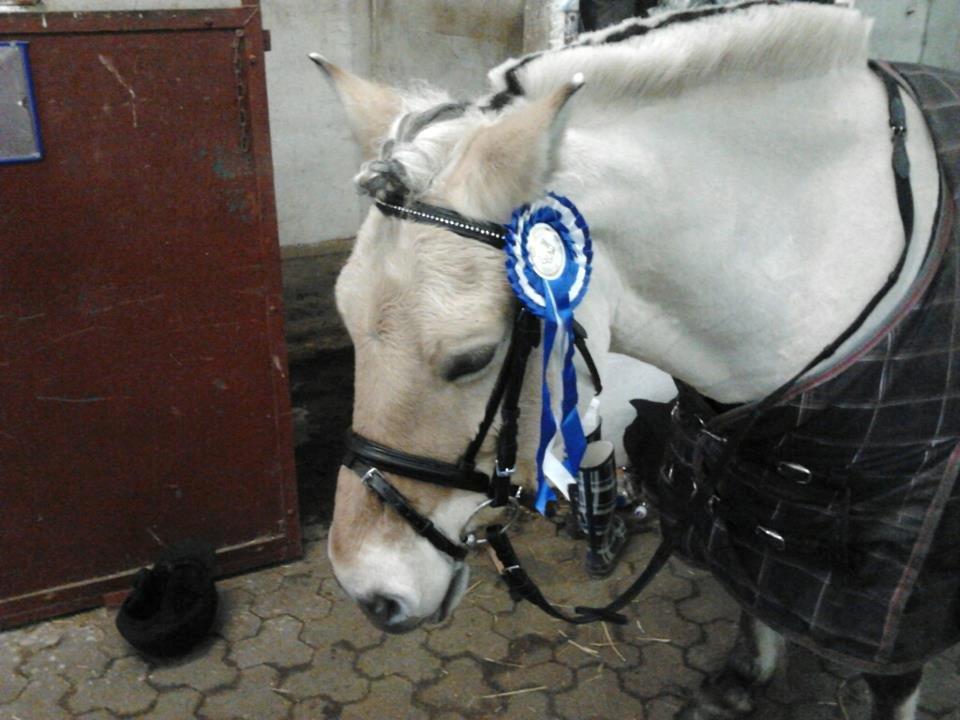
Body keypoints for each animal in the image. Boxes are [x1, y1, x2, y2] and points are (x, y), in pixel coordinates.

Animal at [311, 2, 960, 718]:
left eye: (473, 357)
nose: (369, 591)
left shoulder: (900, 567)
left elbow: (889, 677)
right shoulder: (752, 490)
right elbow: (753, 586)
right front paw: (744, 678)